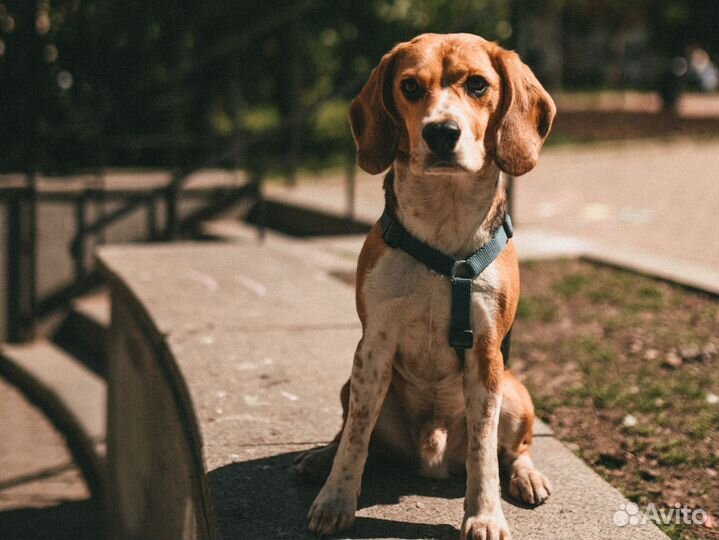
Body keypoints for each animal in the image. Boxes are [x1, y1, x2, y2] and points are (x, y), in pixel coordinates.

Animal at [296, 33, 560, 540]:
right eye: (411, 87)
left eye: (478, 85)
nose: (441, 132)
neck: (444, 216)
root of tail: (433, 454)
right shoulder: (374, 347)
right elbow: (355, 437)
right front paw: (336, 499)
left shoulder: (486, 354)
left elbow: (483, 452)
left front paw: (484, 514)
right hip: (351, 385)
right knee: (354, 433)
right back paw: (320, 459)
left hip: (515, 394)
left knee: (514, 450)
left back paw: (527, 476)